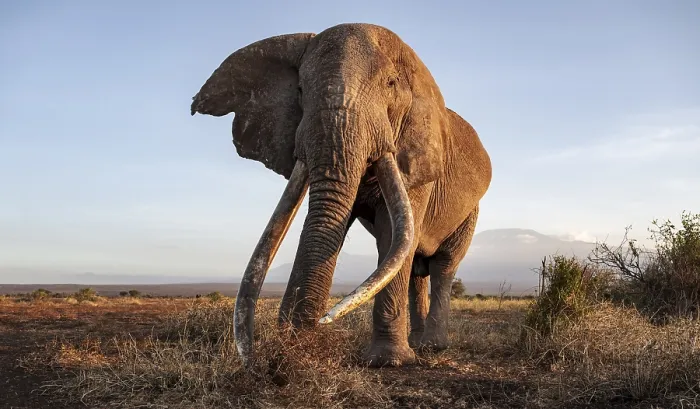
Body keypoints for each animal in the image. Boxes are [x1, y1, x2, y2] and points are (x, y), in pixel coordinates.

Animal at [190, 23, 492, 368]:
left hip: (470, 212)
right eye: (300, 91)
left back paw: (432, 347)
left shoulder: (416, 157)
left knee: (443, 265)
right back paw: (418, 345)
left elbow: (391, 233)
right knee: (417, 268)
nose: (305, 336)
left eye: (390, 84)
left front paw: (388, 362)